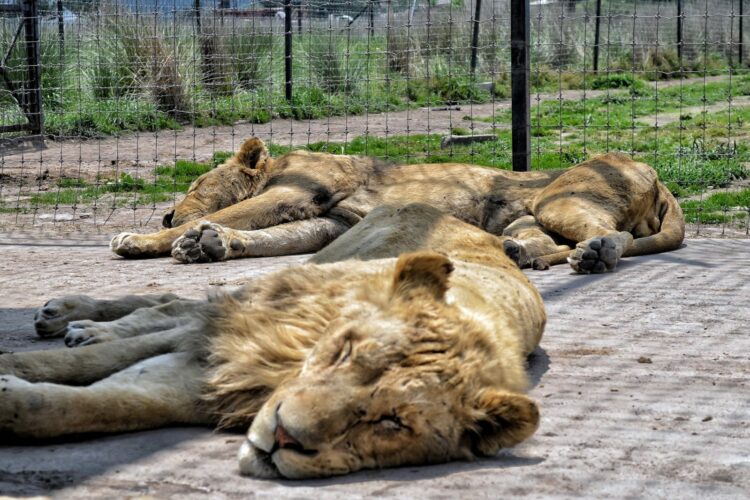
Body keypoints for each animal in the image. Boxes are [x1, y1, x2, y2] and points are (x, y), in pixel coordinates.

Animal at [1, 204, 545, 479]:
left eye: (390, 423)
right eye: (346, 353)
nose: (283, 437)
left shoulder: (206, 382)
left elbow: (84, 408)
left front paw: (17, 400)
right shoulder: (236, 330)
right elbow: (102, 357)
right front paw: (21, 364)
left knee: (171, 305)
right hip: (316, 263)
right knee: (170, 306)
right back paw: (70, 318)